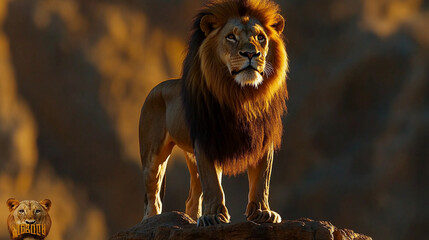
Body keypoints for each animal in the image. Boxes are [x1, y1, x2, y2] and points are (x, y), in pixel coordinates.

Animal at [140, 0, 288, 227]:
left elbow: (262, 180)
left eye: (260, 37)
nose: (251, 54)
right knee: (153, 197)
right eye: (231, 37)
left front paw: (263, 213)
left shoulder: (263, 140)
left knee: (192, 198)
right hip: (152, 156)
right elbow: (213, 184)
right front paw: (213, 217)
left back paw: (191, 220)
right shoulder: (206, 140)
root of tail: (156, 87)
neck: (242, 96)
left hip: (191, 157)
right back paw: (152, 221)